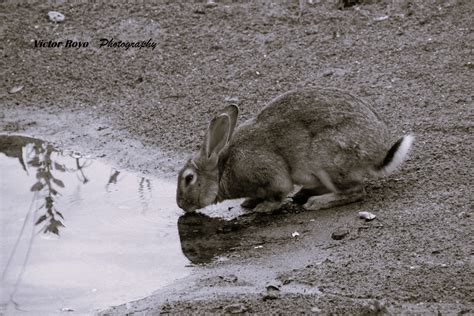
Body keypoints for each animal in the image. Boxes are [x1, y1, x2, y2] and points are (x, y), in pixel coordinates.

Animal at [176, 87, 412, 214]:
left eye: (189, 178)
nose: (180, 205)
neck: (223, 169)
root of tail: (377, 154)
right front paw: (249, 202)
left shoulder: (271, 175)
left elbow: (279, 191)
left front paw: (263, 207)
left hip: (328, 160)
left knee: (356, 191)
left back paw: (316, 203)